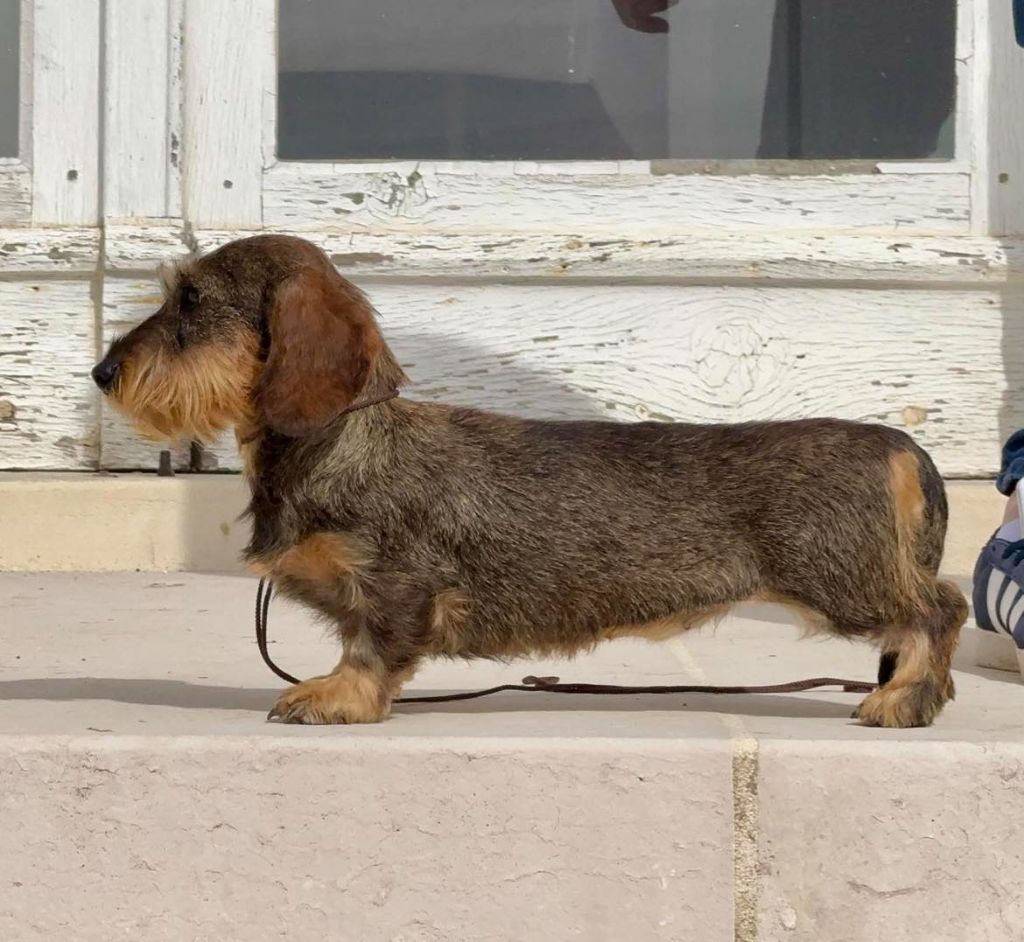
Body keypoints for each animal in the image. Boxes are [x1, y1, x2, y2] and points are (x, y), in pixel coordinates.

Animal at [90, 235, 966, 729]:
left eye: (190, 300)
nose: (102, 373)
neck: (341, 441)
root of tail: (900, 445)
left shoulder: (399, 587)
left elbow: (370, 649)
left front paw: (334, 696)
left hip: (841, 580)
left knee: (939, 610)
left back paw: (904, 699)